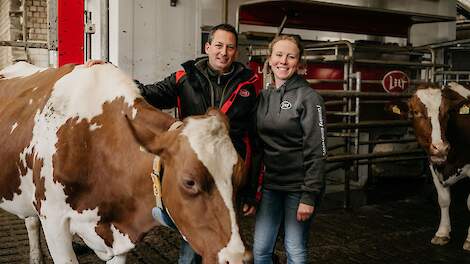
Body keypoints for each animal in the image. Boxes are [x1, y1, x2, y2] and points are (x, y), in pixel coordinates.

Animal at [0, 62, 250, 264]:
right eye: (189, 181)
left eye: (241, 178)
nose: (239, 257)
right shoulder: (54, 222)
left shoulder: (120, 233)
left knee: (30, 221)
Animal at [406, 83, 468, 251]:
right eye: (416, 112)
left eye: (448, 112)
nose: (440, 148)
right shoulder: (434, 165)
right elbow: (444, 200)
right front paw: (442, 233)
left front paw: (469, 240)